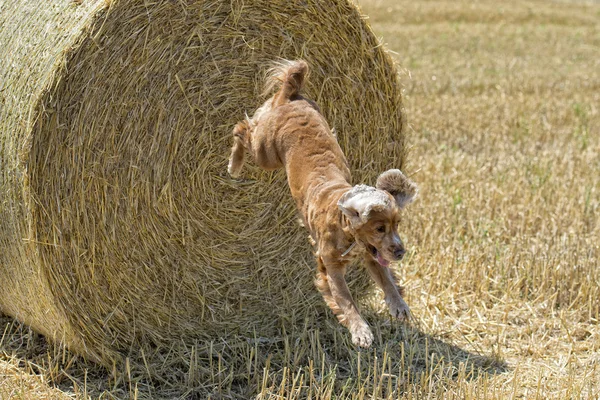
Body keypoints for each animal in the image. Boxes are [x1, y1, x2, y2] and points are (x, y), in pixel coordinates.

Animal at [226, 59, 418, 346]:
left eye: (397, 225)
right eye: (379, 228)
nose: (400, 252)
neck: (343, 223)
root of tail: (291, 95)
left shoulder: (372, 257)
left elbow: (386, 280)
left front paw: (399, 305)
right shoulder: (331, 267)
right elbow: (347, 301)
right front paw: (360, 330)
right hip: (265, 152)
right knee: (241, 128)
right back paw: (234, 164)